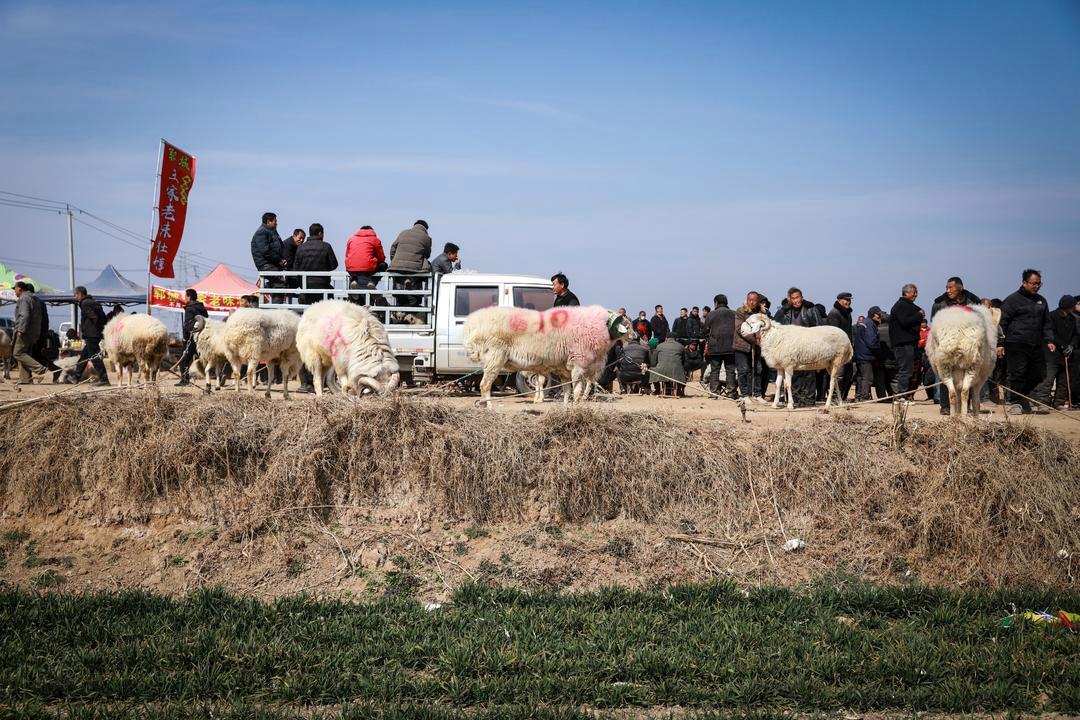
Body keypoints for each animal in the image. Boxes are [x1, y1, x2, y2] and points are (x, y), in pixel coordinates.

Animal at [464, 305, 631, 406]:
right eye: (627, 326)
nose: (634, 336)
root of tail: (471, 325)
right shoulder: (578, 364)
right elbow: (576, 390)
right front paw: (576, 405)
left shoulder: (564, 369)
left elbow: (566, 390)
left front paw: (565, 406)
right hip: (494, 358)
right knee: (485, 385)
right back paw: (489, 406)